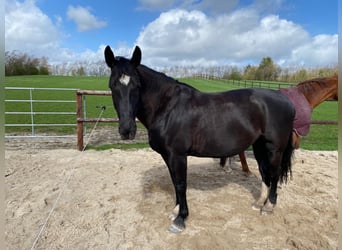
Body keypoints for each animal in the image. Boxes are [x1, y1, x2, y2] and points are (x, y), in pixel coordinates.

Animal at [104, 46, 296, 233]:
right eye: (112, 85)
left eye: (136, 85)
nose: (127, 130)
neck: (167, 107)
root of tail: (286, 100)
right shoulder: (168, 155)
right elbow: (174, 181)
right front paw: (175, 211)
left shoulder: (178, 155)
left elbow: (181, 184)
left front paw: (180, 219)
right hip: (259, 145)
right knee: (265, 172)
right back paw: (259, 203)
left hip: (274, 148)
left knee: (274, 173)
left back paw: (269, 206)